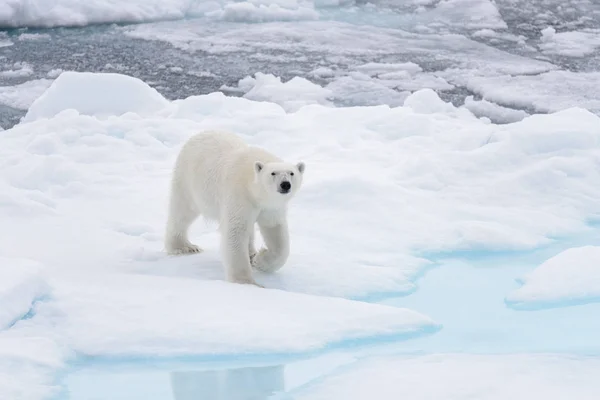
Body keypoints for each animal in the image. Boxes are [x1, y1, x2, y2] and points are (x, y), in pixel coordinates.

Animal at [164, 130, 304, 286]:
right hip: (188, 180)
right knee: (183, 211)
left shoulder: (271, 207)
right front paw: (246, 282)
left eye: (292, 173)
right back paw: (184, 247)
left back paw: (251, 253)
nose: (285, 184)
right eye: (273, 173)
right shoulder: (239, 195)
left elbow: (275, 231)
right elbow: (236, 231)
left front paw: (260, 261)